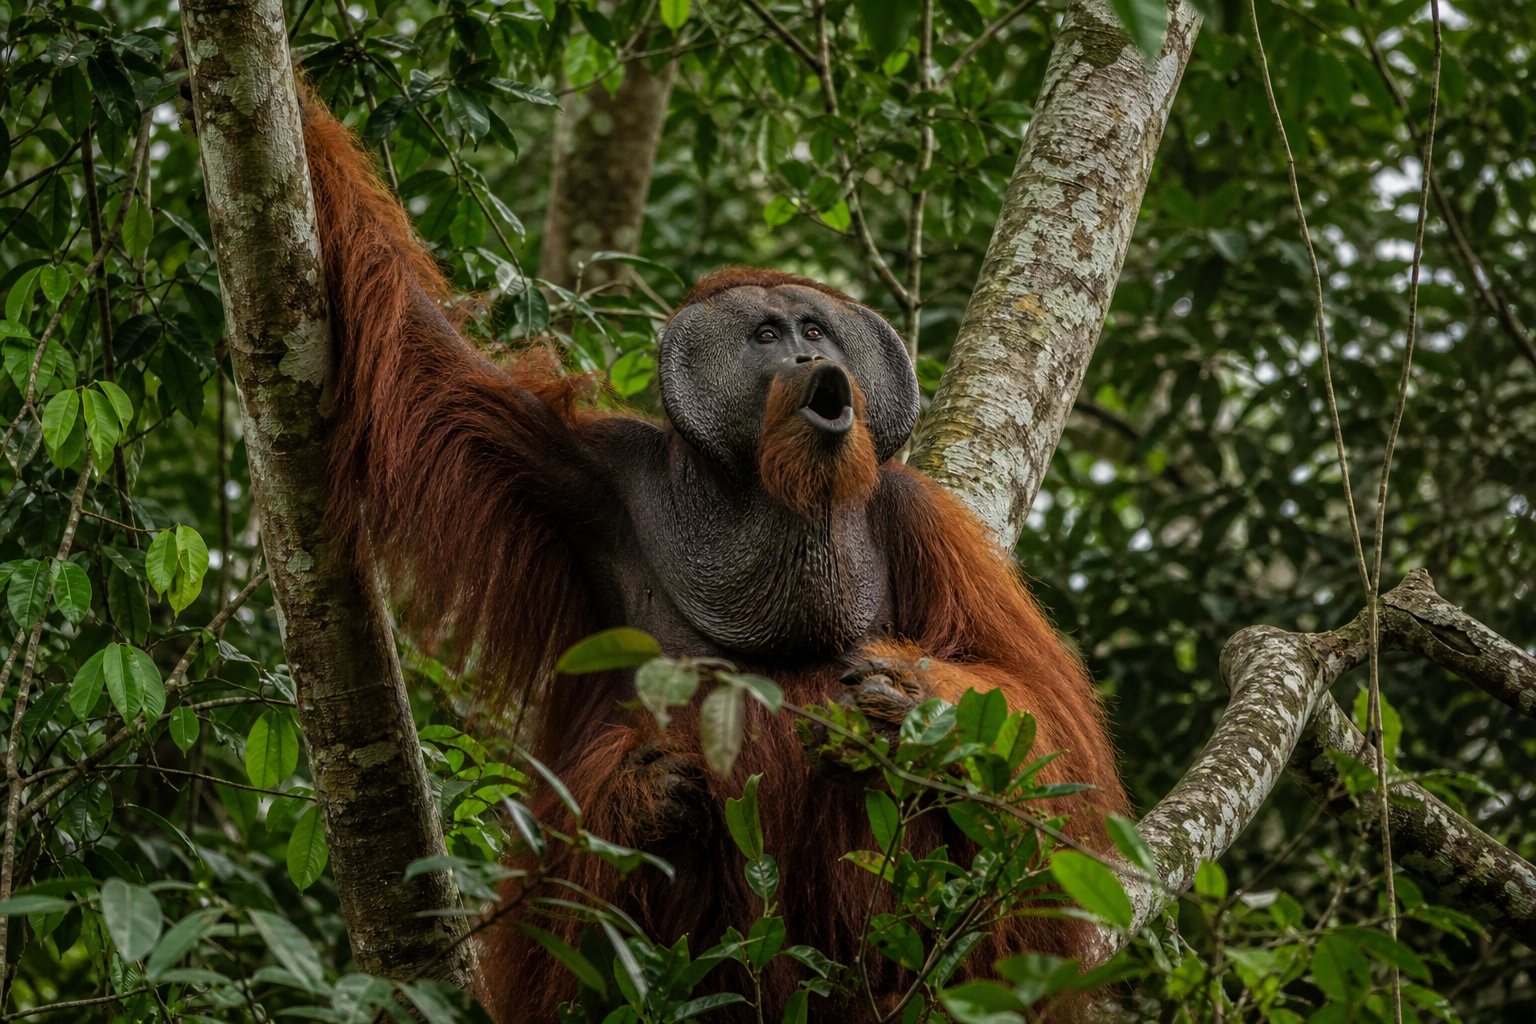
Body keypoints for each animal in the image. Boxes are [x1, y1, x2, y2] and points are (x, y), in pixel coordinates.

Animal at [298, 96, 1128, 1022]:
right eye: (764, 334)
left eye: (813, 328)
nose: (810, 357)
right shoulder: (582, 472)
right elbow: (428, 354)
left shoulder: (918, 517)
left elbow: (1039, 710)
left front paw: (909, 695)